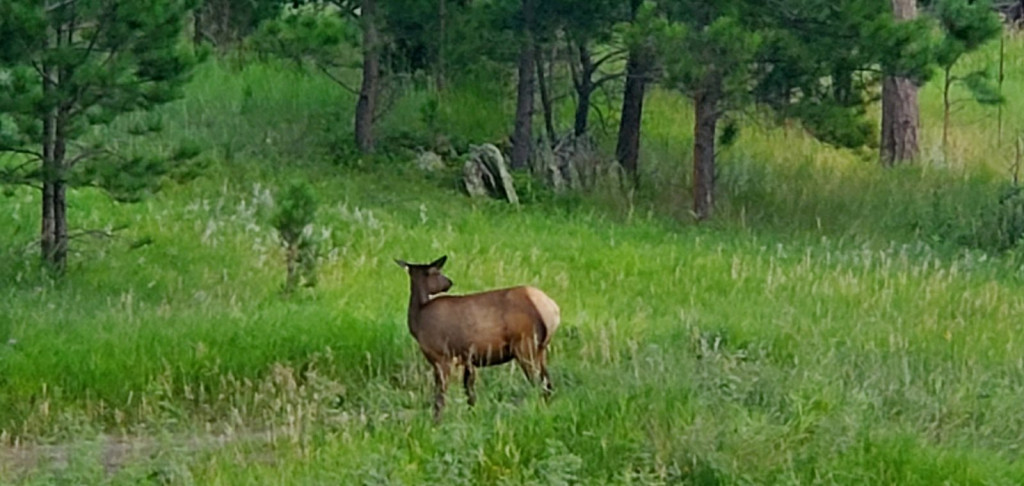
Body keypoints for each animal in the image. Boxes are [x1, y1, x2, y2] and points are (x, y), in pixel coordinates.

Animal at [397, 256, 561, 419]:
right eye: (438, 273)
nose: (449, 282)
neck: (417, 322)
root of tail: (552, 309)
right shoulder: (467, 359)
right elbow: (469, 392)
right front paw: (472, 415)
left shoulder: (441, 355)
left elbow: (440, 396)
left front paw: (437, 421)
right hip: (540, 349)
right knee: (548, 384)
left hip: (525, 345)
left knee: (539, 385)